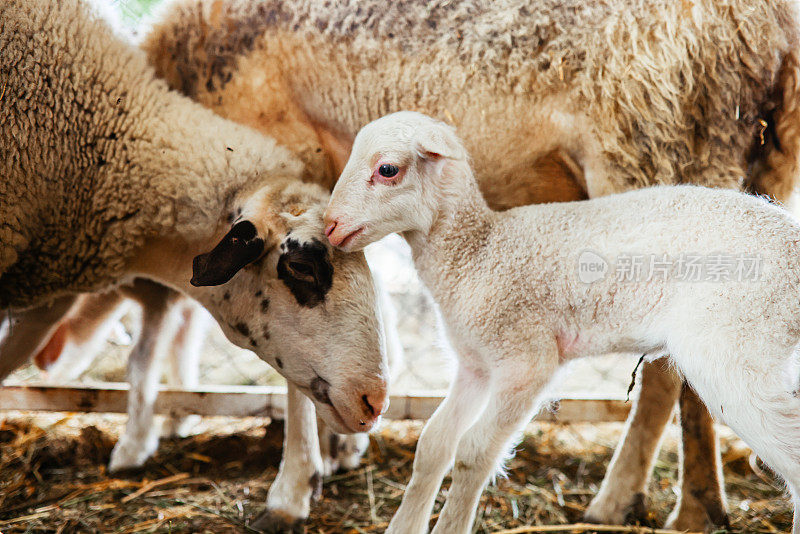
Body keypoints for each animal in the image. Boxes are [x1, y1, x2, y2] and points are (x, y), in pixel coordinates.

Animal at [324, 112, 800, 534]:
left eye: (387, 169)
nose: (329, 225)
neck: (477, 252)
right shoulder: (475, 365)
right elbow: (433, 445)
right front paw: (405, 525)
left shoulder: (526, 359)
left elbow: (473, 454)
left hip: (739, 347)